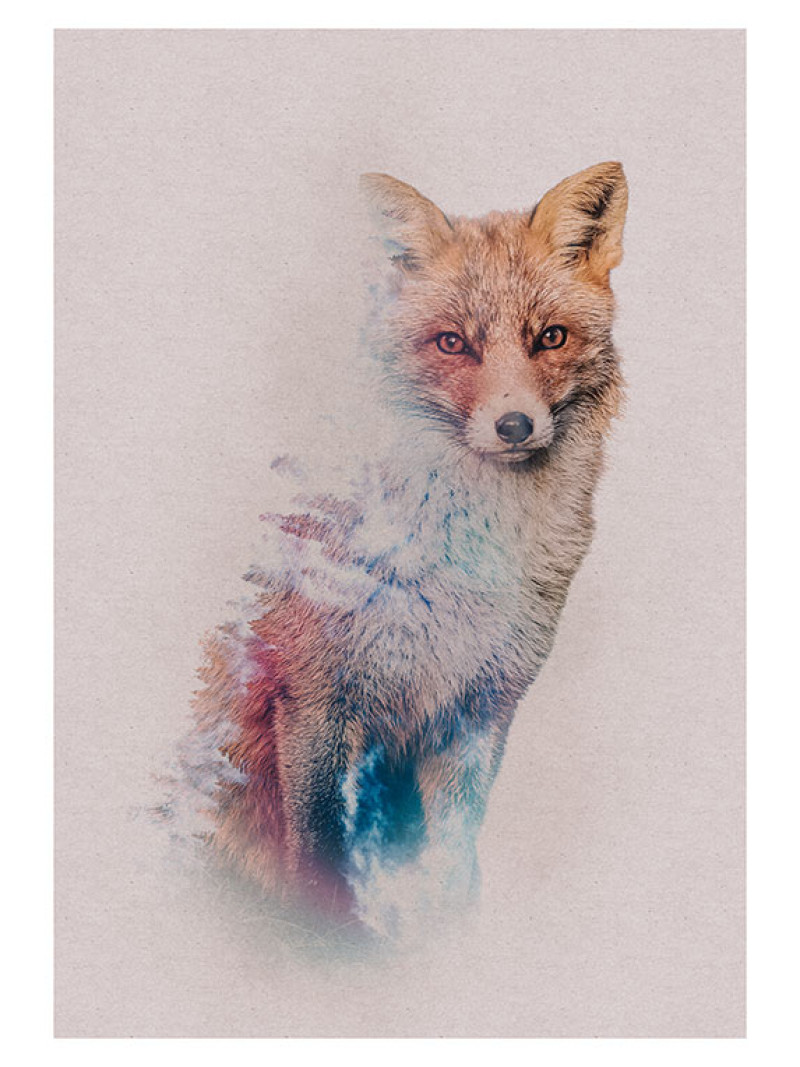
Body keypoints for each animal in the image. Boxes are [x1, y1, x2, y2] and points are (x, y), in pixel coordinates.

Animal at [160, 162, 628, 939]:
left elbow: (454, 863)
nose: (514, 425)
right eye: (452, 344)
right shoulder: (313, 697)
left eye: (551, 337)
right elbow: (320, 856)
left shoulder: (478, 708)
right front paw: (331, 944)